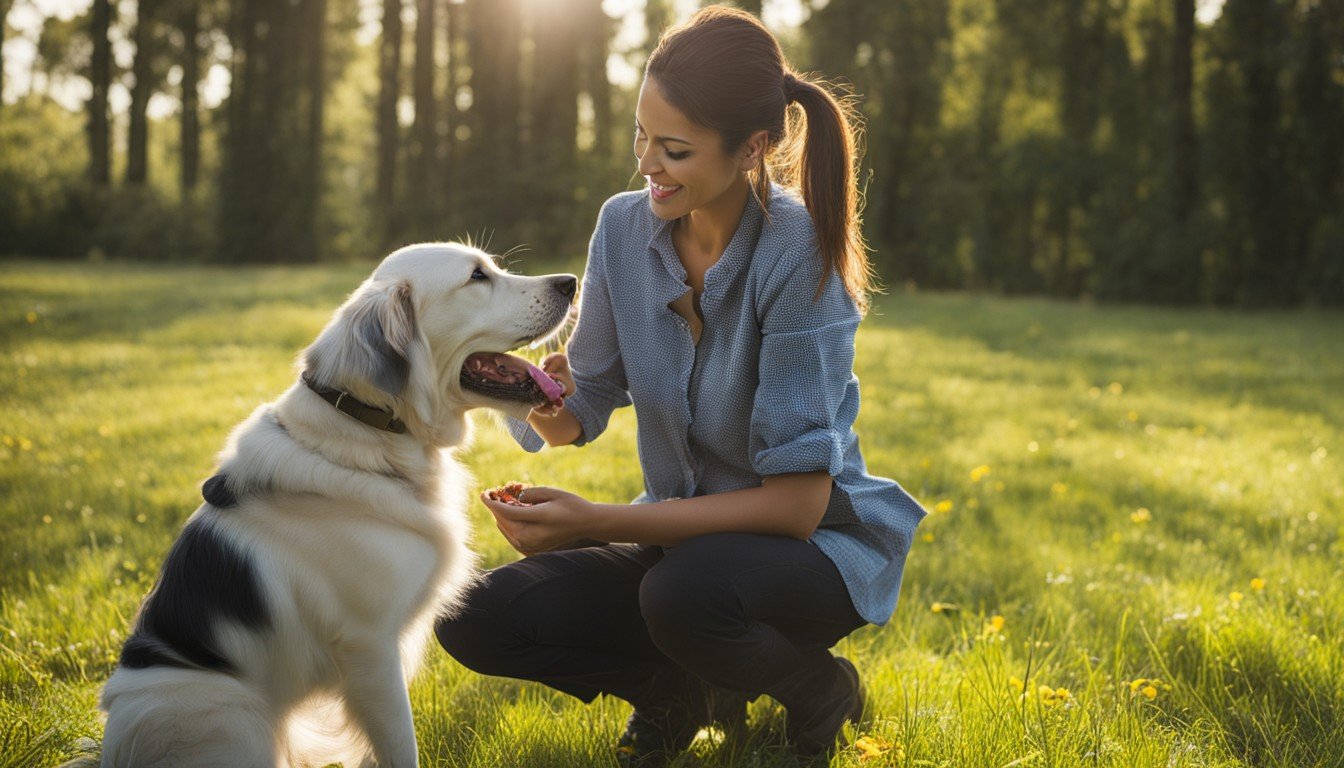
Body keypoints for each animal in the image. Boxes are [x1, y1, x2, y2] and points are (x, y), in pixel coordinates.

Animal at [98, 246, 572, 768]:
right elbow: (399, 745)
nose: (571, 282)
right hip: (240, 720)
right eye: (476, 277)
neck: (369, 432)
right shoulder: (370, 648)